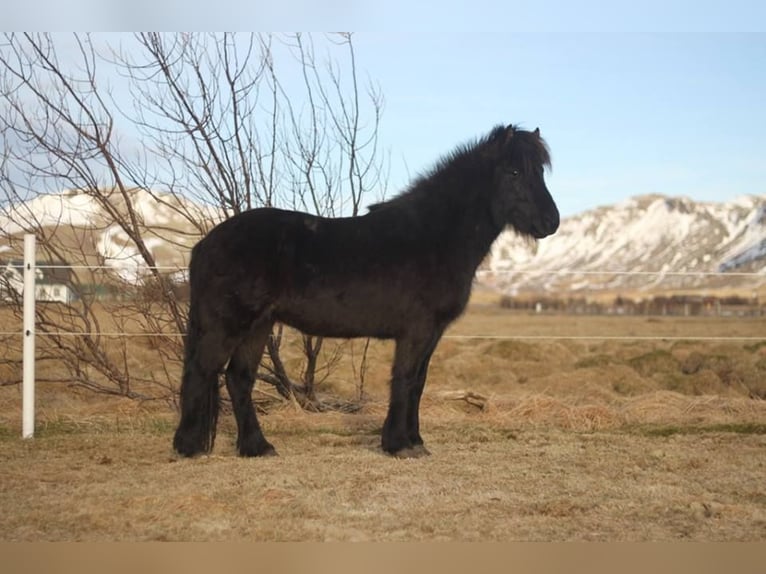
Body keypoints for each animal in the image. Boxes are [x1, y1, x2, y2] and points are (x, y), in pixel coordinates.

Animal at [172, 125, 560, 460]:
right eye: (513, 172)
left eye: (540, 173)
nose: (551, 222)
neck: (435, 235)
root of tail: (205, 244)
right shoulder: (416, 331)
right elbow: (404, 379)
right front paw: (399, 444)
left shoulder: (432, 333)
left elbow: (419, 383)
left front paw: (415, 441)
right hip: (228, 324)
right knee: (202, 371)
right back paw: (189, 448)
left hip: (258, 326)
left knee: (238, 379)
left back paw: (257, 447)